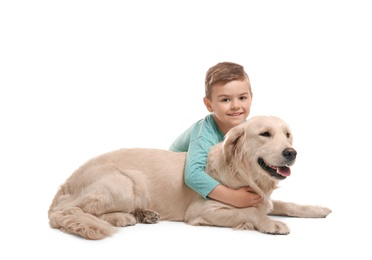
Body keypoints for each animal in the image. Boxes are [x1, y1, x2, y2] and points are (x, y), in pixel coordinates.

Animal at [48, 116, 332, 240]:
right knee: (72, 211)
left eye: (287, 135)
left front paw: (318, 209)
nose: (291, 153)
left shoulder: (264, 197)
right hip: (125, 183)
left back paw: (144, 214)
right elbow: (250, 212)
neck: (243, 172)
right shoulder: (202, 209)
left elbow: (286, 204)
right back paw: (123, 217)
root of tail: (65, 184)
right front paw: (270, 223)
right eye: (265, 134)